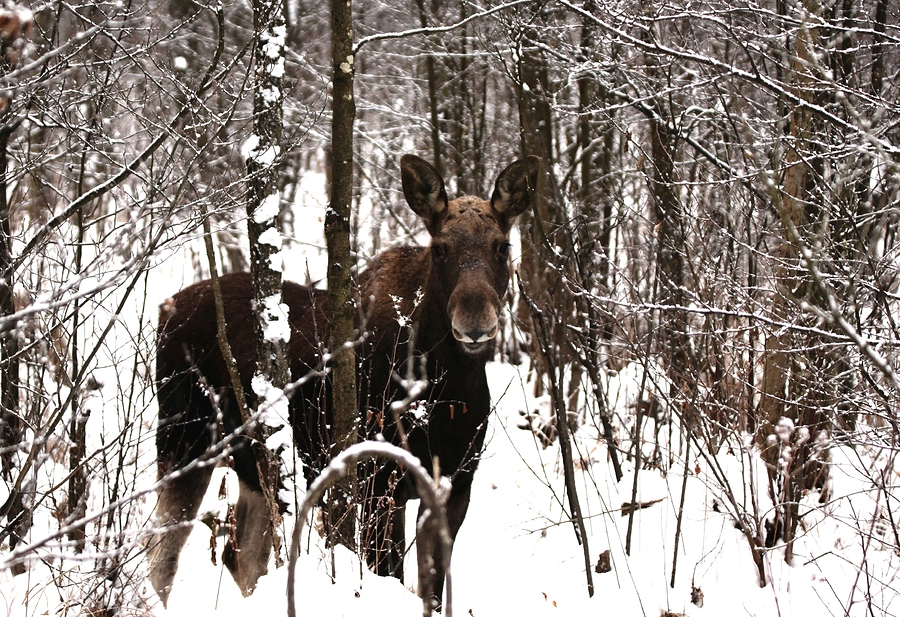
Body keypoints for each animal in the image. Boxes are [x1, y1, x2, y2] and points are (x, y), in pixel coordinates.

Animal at [146, 153, 540, 609]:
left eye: (503, 246)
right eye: (439, 249)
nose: (475, 322)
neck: (448, 392)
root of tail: (165, 311)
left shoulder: (454, 487)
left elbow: (433, 593)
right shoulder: (378, 485)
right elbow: (389, 575)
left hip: (254, 465)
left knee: (239, 554)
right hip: (184, 441)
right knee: (160, 554)